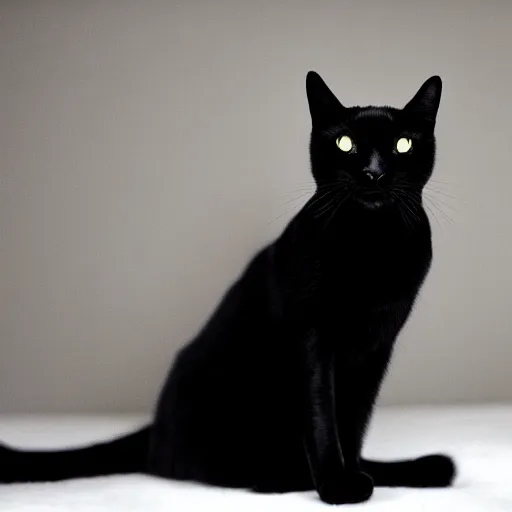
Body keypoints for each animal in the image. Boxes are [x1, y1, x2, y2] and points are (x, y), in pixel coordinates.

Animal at [0, 71, 456, 504]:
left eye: (401, 145)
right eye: (345, 144)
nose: (374, 173)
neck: (372, 246)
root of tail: (152, 429)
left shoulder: (376, 348)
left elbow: (355, 422)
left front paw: (354, 474)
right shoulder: (312, 339)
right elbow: (322, 418)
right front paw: (335, 486)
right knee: (197, 467)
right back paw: (279, 478)